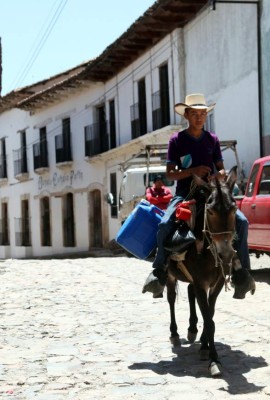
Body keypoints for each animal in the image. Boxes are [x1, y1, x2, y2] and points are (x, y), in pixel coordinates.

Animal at [165, 167, 255, 376]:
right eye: (211, 210)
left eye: (234, 209)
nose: (226, 254)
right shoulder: (201, 283)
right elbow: (209, 319)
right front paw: (214, 360)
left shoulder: (216, 283)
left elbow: (210, 315)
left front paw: (205, 347)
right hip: (170, 274)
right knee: (171, 298)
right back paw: (175, 334)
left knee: (190, 294)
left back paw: (192, 330)